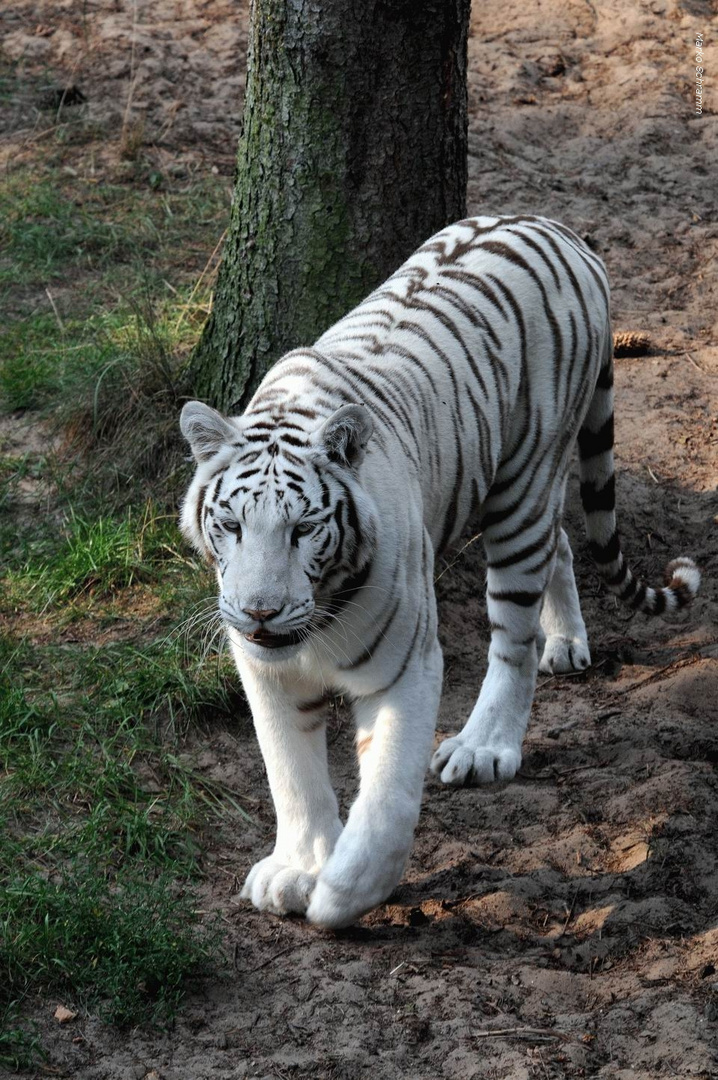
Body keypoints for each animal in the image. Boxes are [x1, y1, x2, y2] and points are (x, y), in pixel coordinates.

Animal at [180, 212, 699, 928]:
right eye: (231, 525)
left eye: (303, 528)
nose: (259, 611)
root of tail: (558, 227)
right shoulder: (265, 669)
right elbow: (292, 773)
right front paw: (298, 869)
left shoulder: (404, 664)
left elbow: (387, 796)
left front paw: (342, 893)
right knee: (562, 544)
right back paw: (568, 642)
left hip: (524, 481)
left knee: (515, 634)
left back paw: (486, 744)